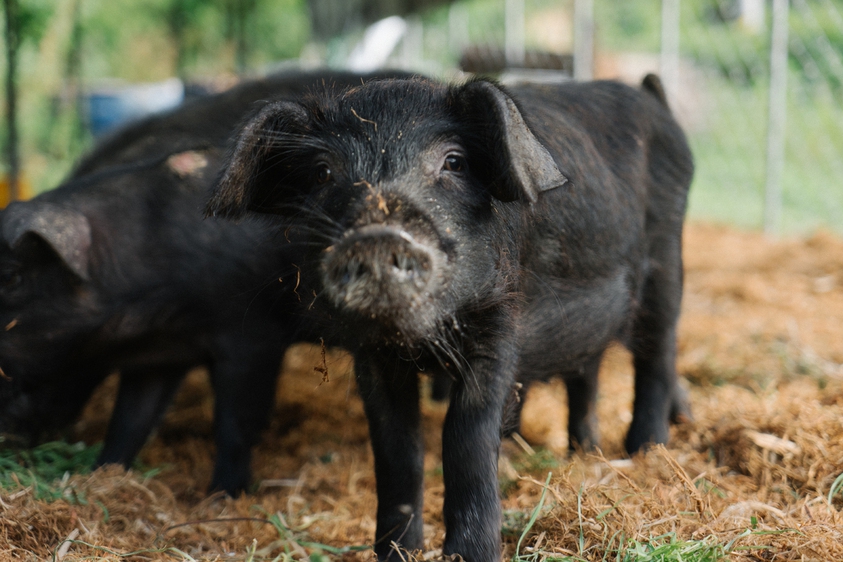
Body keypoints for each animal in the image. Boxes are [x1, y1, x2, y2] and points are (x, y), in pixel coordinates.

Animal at [0, 68, 408, 492]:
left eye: (11, 277)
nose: (7, 436)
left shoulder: (254, 334)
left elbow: (235, 423)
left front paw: (223, 494)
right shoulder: (159, 356)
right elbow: (129, 421)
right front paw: (102, 475)